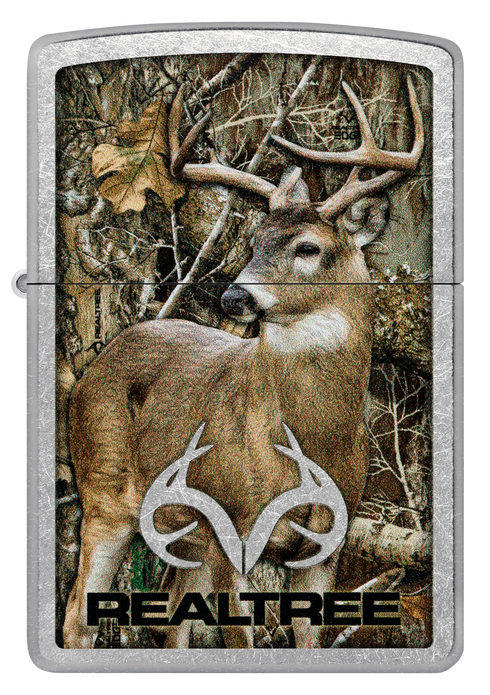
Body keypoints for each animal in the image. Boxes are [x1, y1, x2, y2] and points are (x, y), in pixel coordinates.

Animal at [63, 75, 424, 650]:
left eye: (308, 247)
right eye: (253, 241)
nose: (234, 297)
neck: (308, 439)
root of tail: (92, 367)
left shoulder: (326, 545)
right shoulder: (229, 524)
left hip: (180, 529)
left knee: (169, 620)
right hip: (103, 489)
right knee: (78, 615)